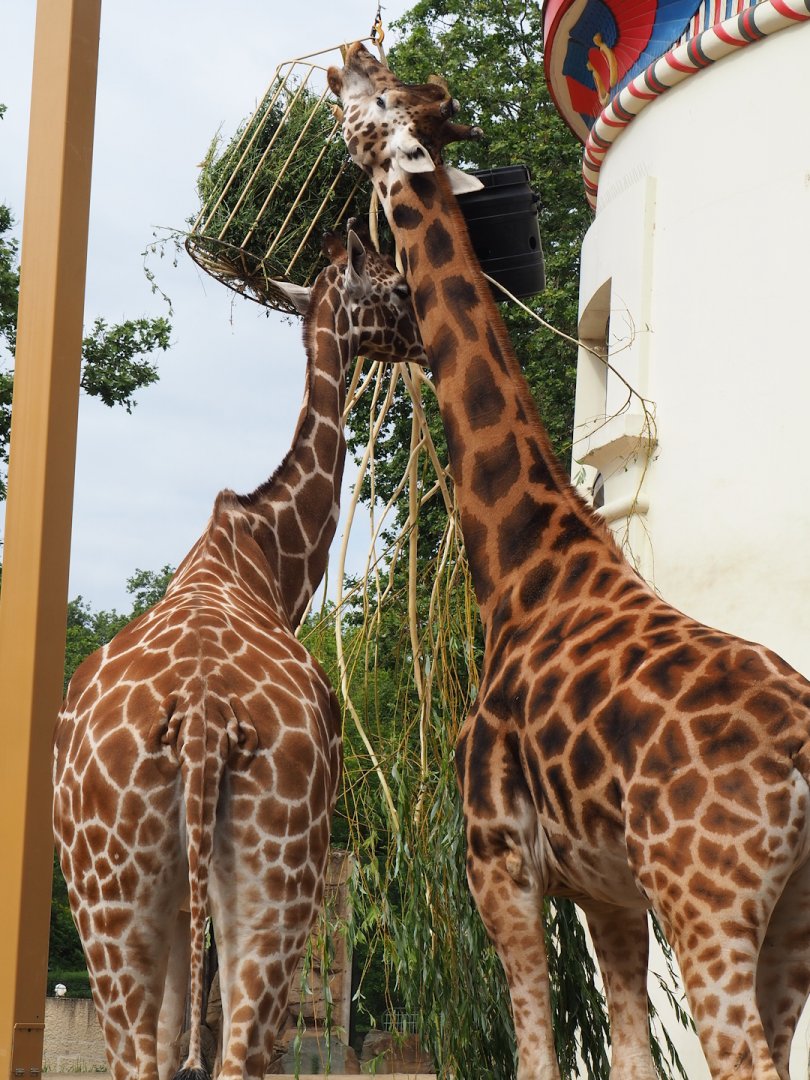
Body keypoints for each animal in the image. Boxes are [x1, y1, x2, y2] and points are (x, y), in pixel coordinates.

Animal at [52, 225, 426, 1080]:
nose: (428, 335)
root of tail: (201, 715)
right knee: (241, 1051)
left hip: (110, 893)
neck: (265, 551)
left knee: (143, 1055)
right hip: (284, 873)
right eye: (394, 286)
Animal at [328, 44, 810, 1080]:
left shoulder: (500, 864)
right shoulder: (607, 893)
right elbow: (626, 1057)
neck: (519, 563)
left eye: (376, 104)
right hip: (790, 910)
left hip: (706, 895)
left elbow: (536, 1054)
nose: (348, 57)